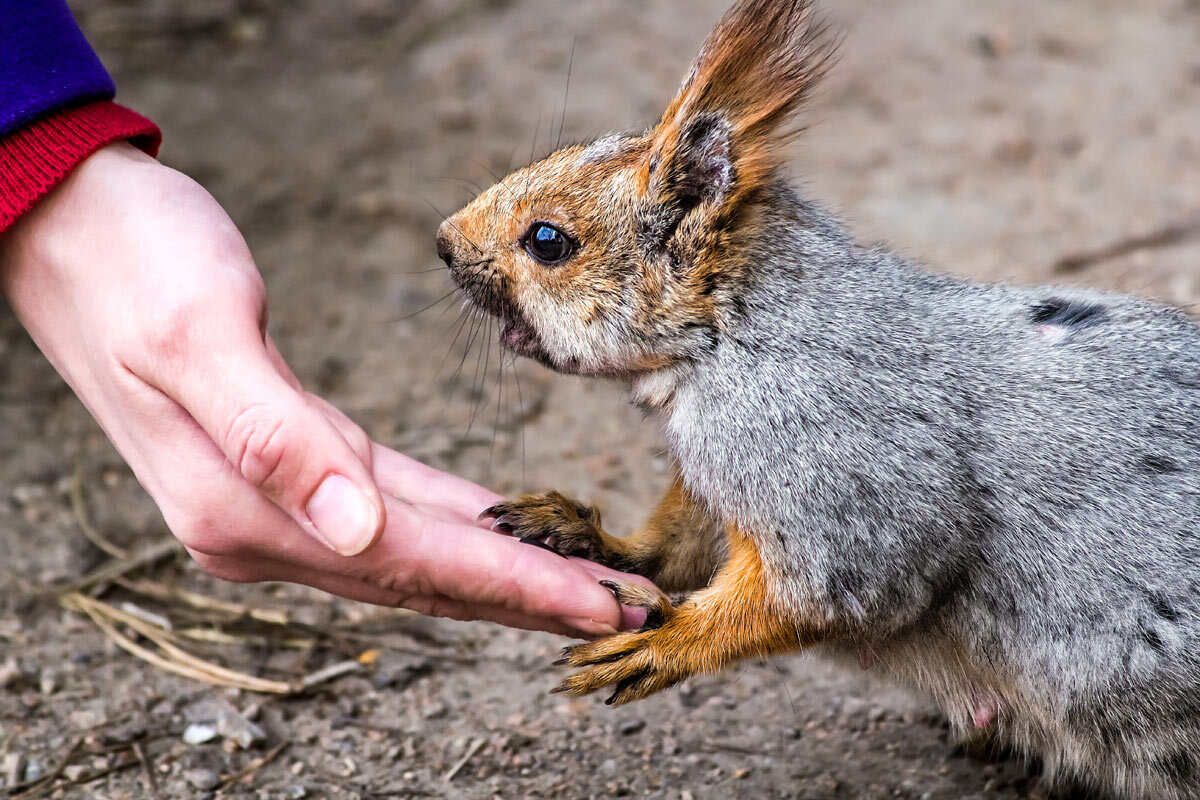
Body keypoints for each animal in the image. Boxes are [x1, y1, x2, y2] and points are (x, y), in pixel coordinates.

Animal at [436, 3, 1200, 796]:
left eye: (547, 240)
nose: (442, 242)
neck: (737, 335)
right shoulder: (719, 489)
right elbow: (675, 548)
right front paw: (579, 533)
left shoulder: (832, 463)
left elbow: (834, 586)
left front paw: (672, 641)